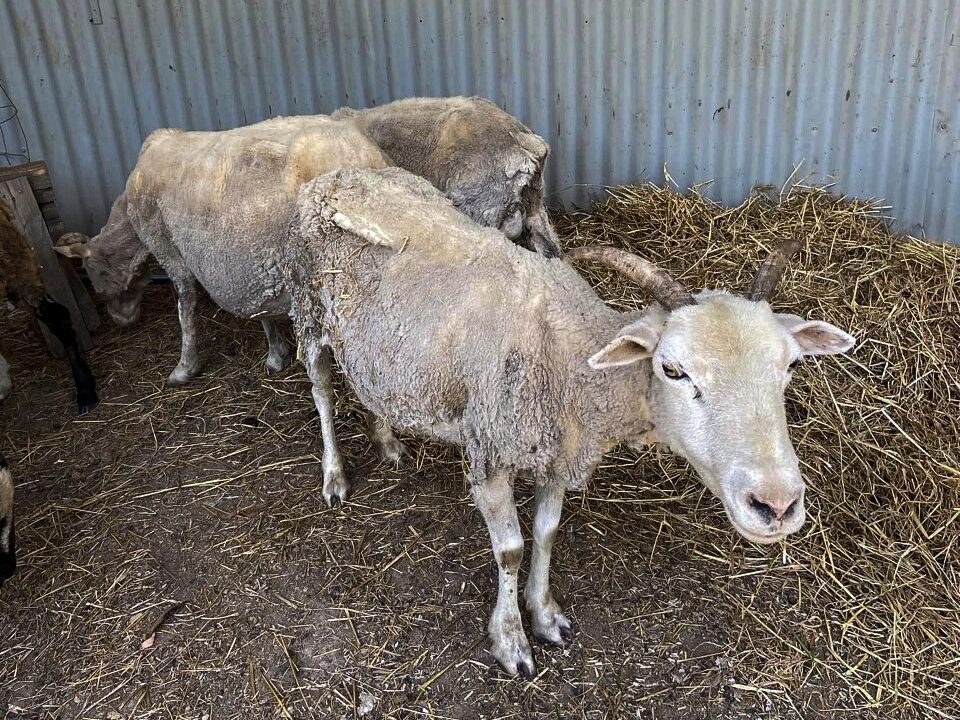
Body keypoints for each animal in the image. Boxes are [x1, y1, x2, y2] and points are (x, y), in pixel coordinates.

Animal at [284, 166, 855, 676]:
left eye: (791, 365)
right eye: (672, 369)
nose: (776, 505)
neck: (566, 351)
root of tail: (337, 176)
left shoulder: (558, 449)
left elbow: (546, 531)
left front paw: (544, 614)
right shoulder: (489, 453)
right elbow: (511, 550)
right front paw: (511, 641)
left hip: (379, 349)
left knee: (366, 383)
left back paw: (386, 439)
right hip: (308, 309)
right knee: (322, 387)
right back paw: (334, 475)